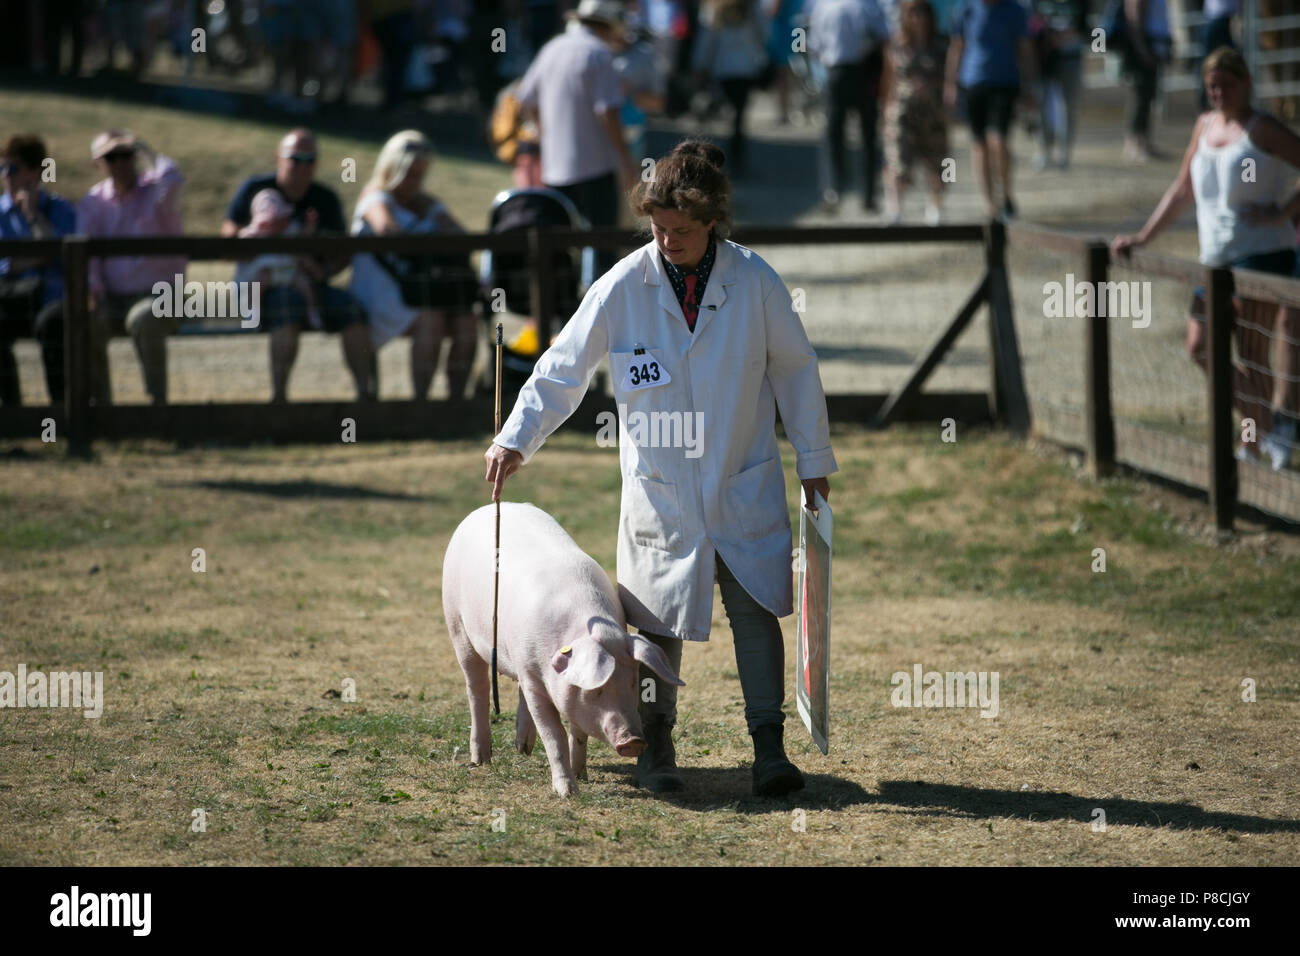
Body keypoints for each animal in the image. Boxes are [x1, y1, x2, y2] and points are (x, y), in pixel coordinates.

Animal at [441, 504, 686, 796]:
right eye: (597, 690)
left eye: (633, 682)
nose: (634, 740)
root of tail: (487, 507)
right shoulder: (533, 677)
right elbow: (553, 734)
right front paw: (568, 792)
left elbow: (578, 732)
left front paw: (582, 776)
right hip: (456, 622)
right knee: (476, 688)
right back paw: (481, 759)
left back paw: (523, 748)